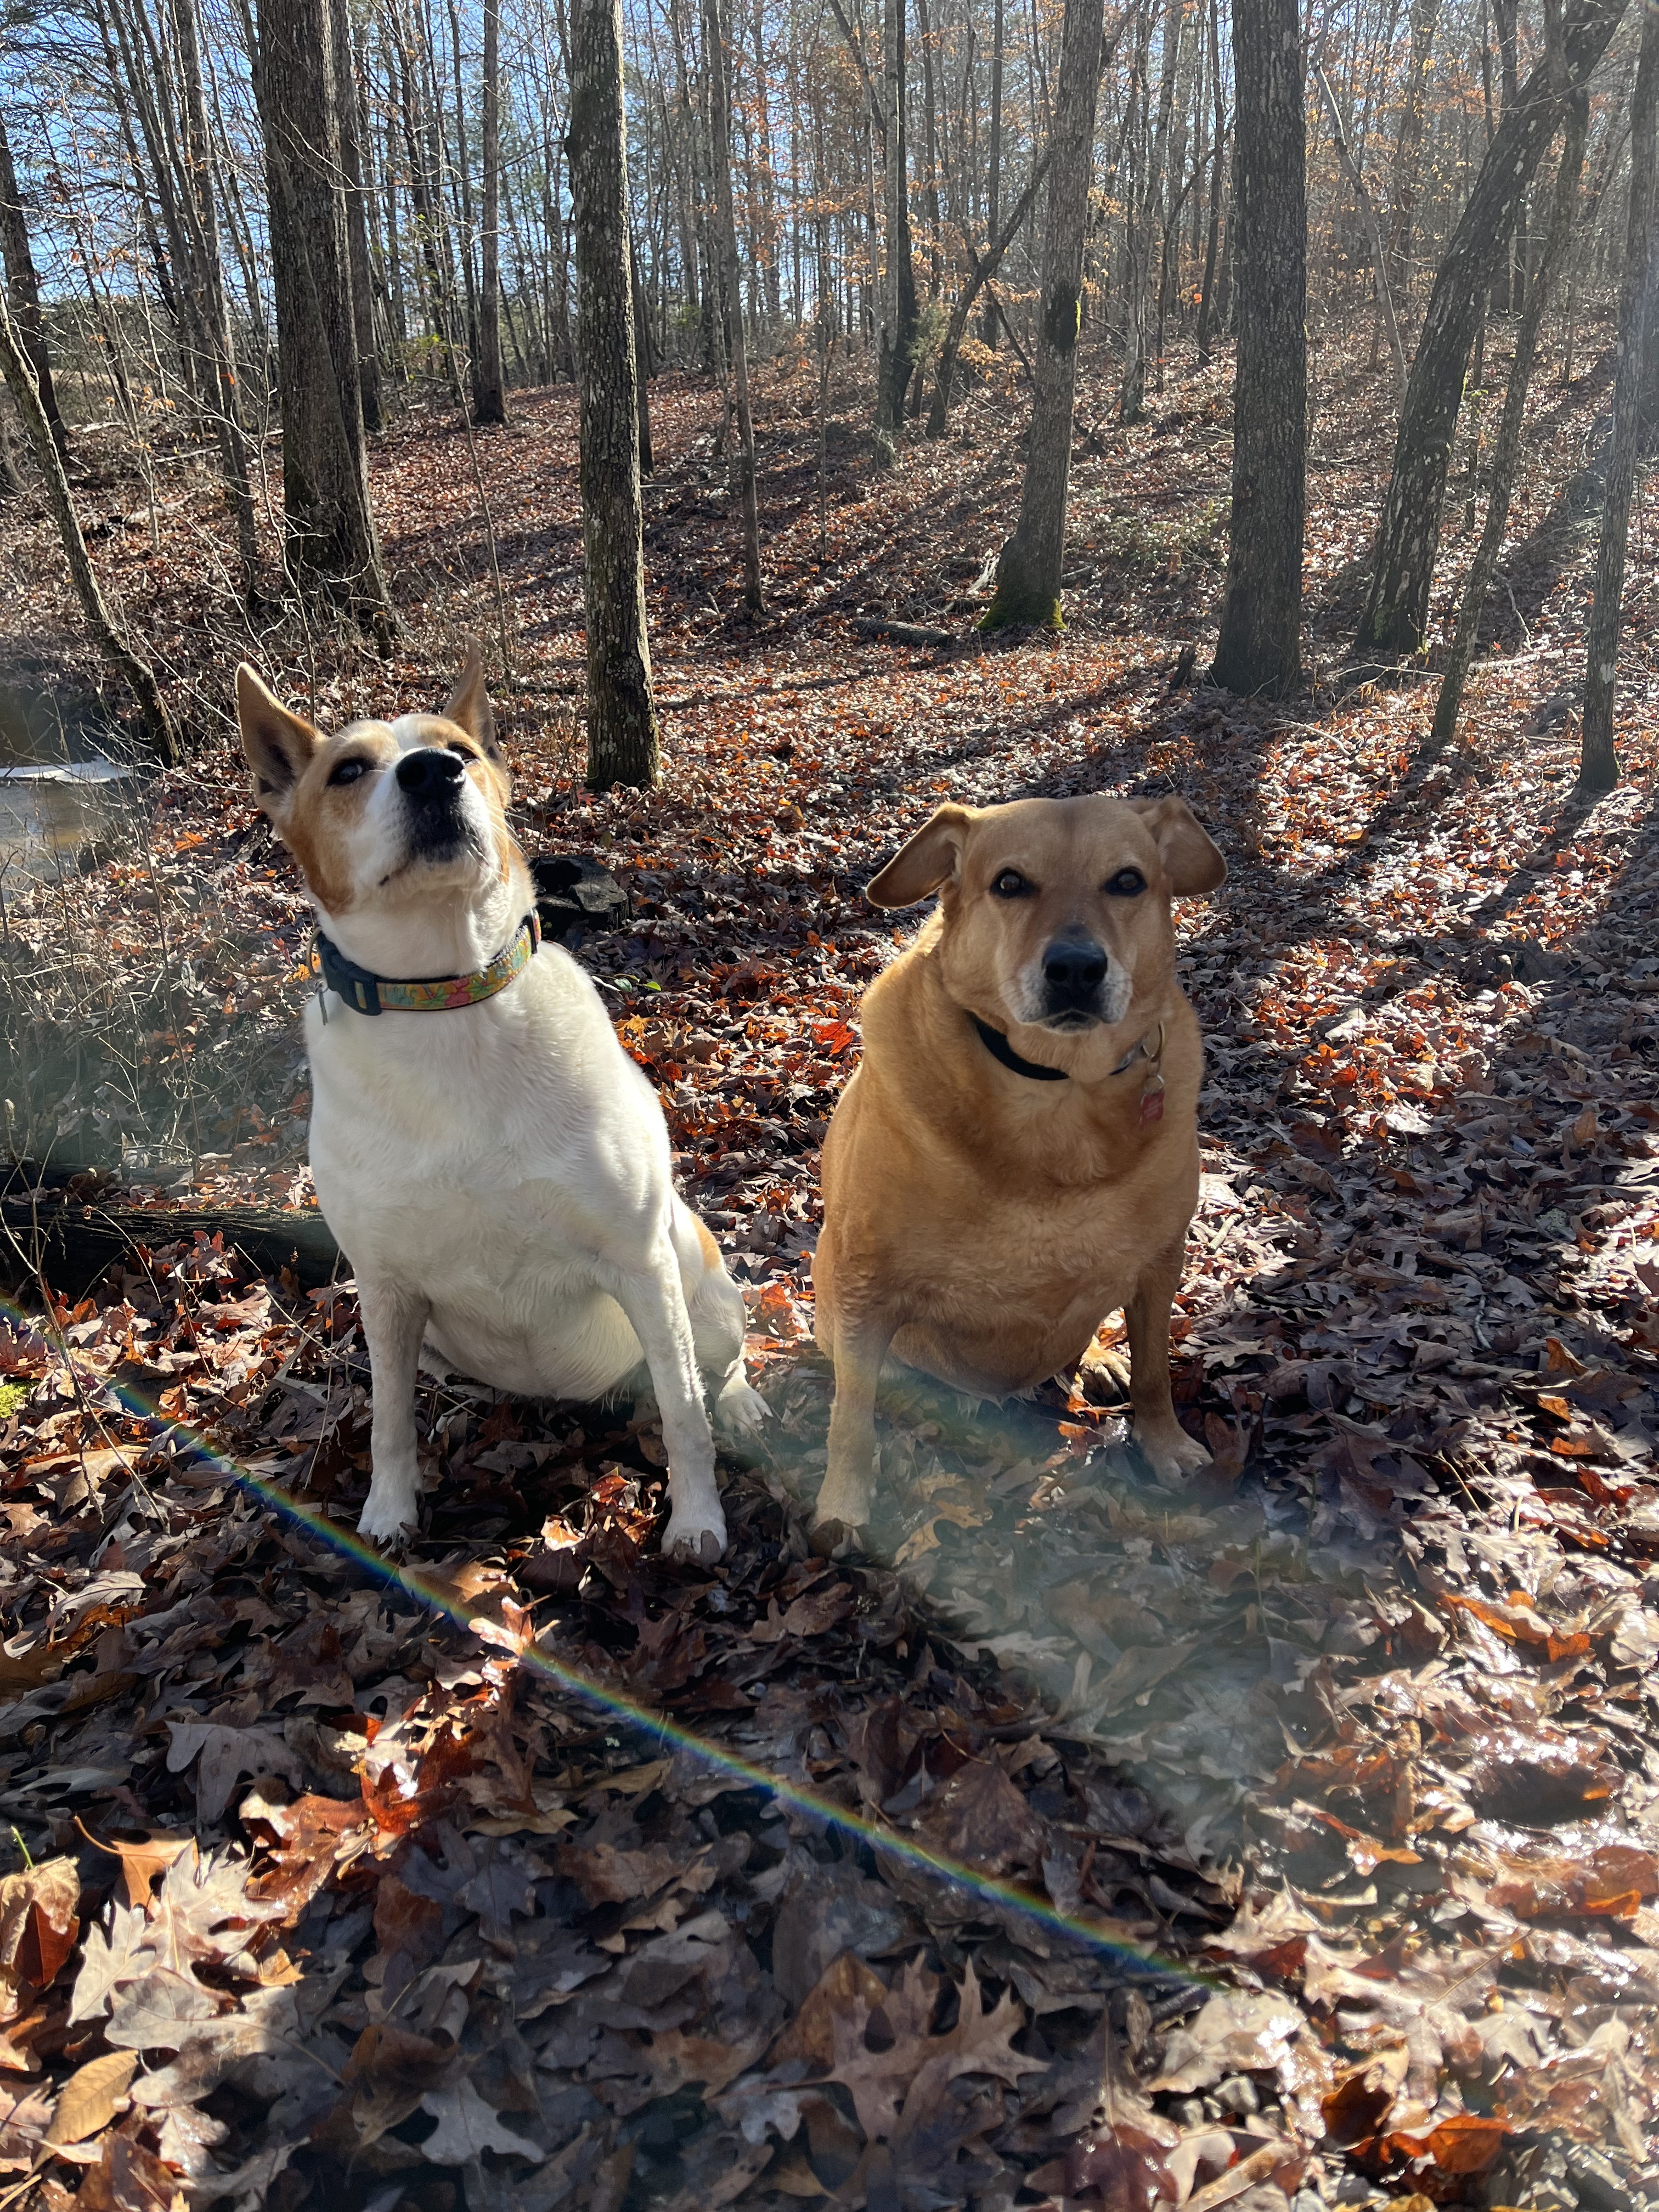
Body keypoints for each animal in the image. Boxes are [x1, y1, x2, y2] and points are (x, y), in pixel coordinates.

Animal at [235, 646, 765, 1566]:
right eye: (349, 771)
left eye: (460, 751)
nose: (433, 773)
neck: (448, 999)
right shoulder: (385, 1290)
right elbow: (388, 1422)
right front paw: (388, 1510)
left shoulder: (639, 1263)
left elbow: (683, 1413)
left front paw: (697, 1518)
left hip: (699, 1285)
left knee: (713, 1369)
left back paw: (738, 1403)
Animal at [814, 796, 1229, 1539]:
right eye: (1009, 883)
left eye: (1128, 881)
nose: (1075, 968)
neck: (1056, 1087)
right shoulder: (866, 1281)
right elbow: (851, 1416)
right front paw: (844, 1502)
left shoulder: (1160, 1261)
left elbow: (1156, 1370)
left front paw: (1164, 1445)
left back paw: (1096, 1361)